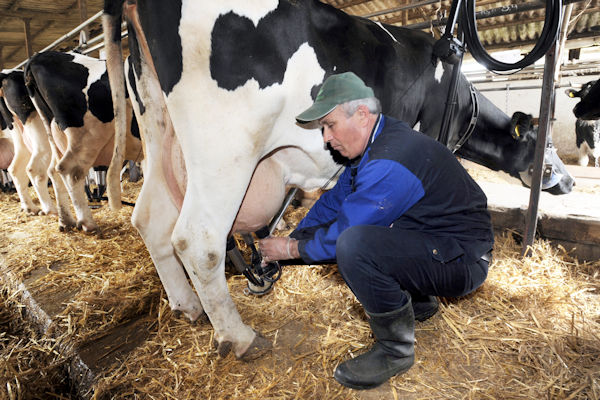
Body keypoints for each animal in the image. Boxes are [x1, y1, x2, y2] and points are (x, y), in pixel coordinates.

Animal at [23, 50, 143, 231]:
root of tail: (38, 57)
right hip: (87, 137)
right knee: (70, 170)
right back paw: (88, 224)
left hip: (54, 136)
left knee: (53, 171)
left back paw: (66, 221)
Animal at [101, 0, 576, 360]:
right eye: (545, 143)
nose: (569, 182)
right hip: (224, 147)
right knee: (197, 239)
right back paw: (240, 338)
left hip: (159, 131)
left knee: (149, 220)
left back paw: (187, 307)